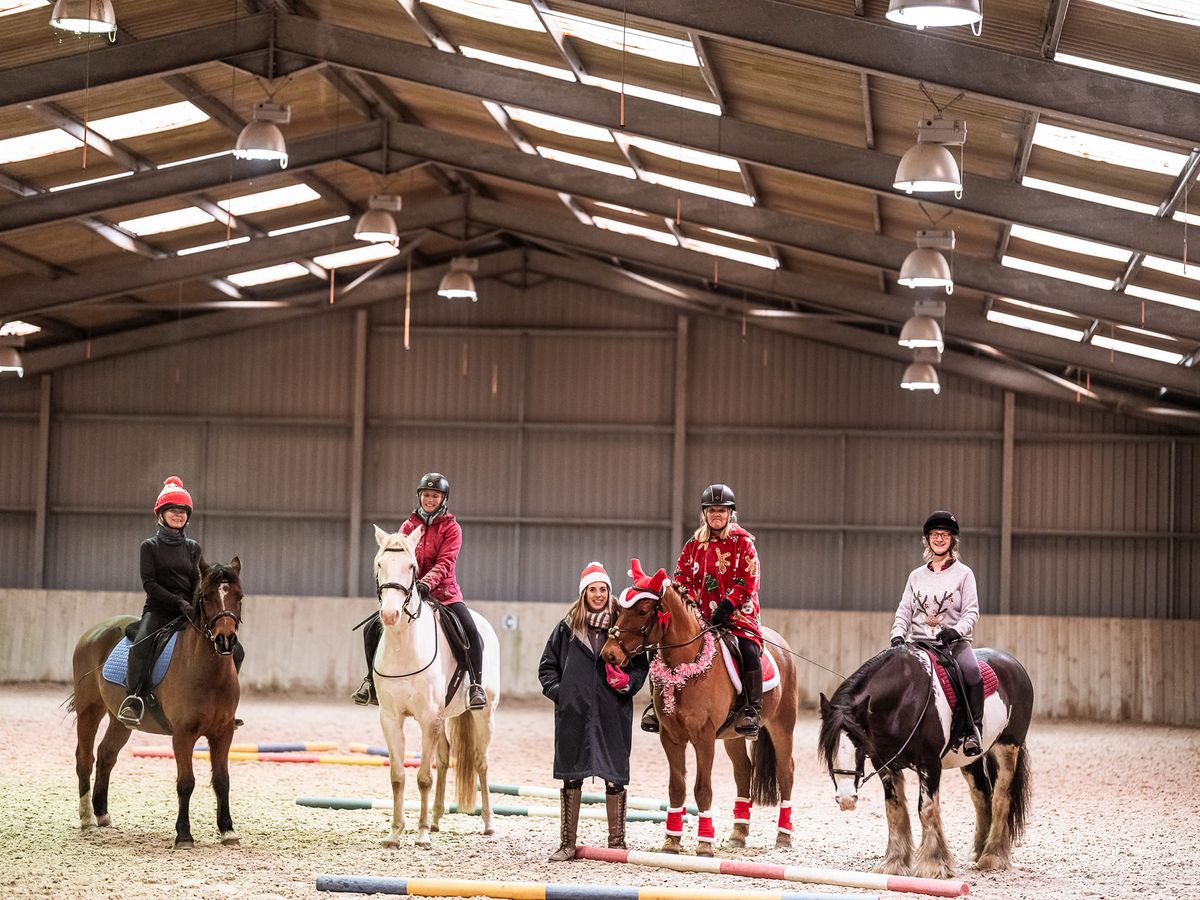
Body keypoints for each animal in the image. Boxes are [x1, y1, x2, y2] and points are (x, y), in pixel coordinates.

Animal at [367, 525, 494, 849]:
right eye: (379, 564)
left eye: (411, 567)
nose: (390, 615)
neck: (404, 647)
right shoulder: (390, 718)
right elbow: (398, 776)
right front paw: (395, 833)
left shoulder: (427, 718)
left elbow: (423, 777)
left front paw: (421, 834)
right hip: (444, 718)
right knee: (444, 759)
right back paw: (436, 820)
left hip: (483, 715)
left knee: (480, 762)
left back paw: (487, 824)